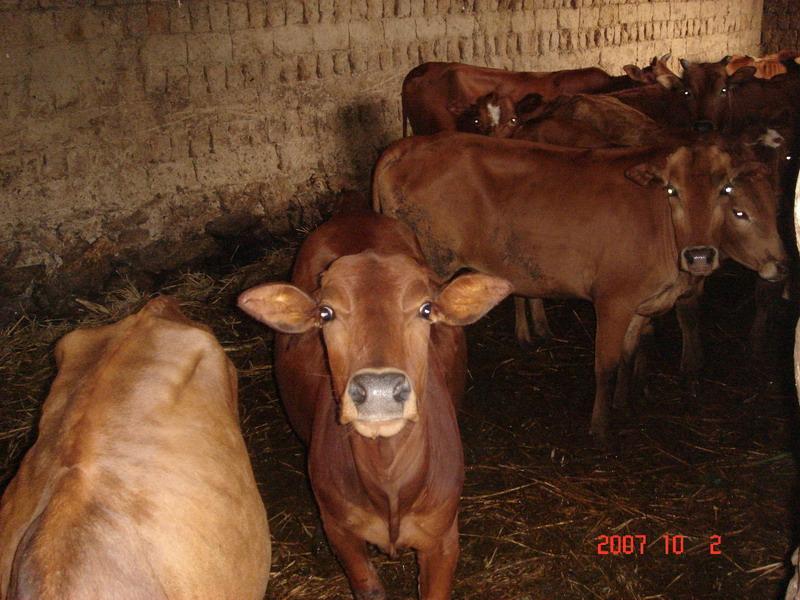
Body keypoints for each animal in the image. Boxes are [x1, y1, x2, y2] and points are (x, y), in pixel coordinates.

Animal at [239, 213, 512, 596]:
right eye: (326, 313)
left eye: (426, 309)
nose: (379, 390)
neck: (389, 481)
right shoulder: (340, 530)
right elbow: (368, 587)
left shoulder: (443, 536)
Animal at [376, 135, 788, 440]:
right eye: (672, 191)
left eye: (725, 190)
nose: (700, 255)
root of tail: (406, 146)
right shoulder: (612, 301)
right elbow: (604, 365)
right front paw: (600, 428)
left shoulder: (641, 303)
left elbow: (628, 355)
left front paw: (624, 405)